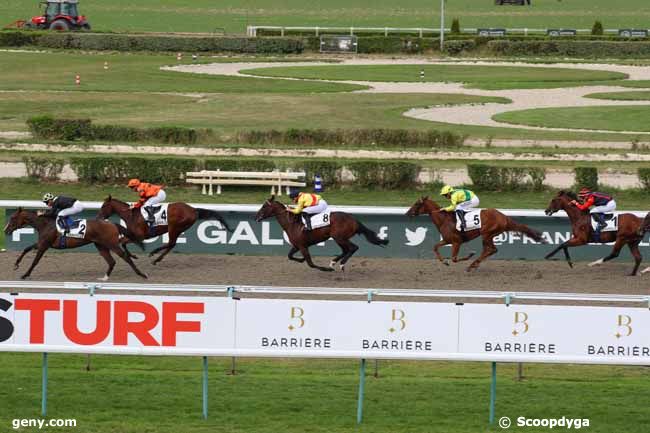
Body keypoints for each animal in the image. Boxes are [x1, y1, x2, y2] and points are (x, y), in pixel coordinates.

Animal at [3, 207, 147, 280]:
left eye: (13, 218)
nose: (6, 230)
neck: (45, 224)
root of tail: (112, 223)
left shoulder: (44, 245)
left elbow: (35, 261)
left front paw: (25, 274)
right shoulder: (42, 243)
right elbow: (26, 249)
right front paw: (16, 265)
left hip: (112, 244)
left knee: (125, 257)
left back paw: (142, 274)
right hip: (101, 245)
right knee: (111, 261)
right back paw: (104, 278)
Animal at [94, 196, 230, 264]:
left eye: (104, 206)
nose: (98, 217)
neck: (131, 215)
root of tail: (193, 209)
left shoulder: (139, 236)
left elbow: (122, 242)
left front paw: (133, 255)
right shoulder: (133, 235)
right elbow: (122, 242)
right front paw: (132, 256)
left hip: (174, 227)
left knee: (171, 243)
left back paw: (154, 254)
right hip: (177, 229)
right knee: (171, 244)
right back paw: (156, 258)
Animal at [252, 195, 384, 270]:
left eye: (264, 207)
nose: (256, 217)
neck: (292, 223)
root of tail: (354, 219)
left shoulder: (302, 246)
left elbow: (310, 263)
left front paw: (325, 269)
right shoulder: (297, 245)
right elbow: (290, 256)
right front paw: (301, 259)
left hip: (339, 237)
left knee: (353, 248)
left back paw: (341, 264)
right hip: (339, 238)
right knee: (345, 250)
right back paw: (333, 262)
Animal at [402, 196, 544, 270]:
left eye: (417, 204)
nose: (407, 213)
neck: (444, 220)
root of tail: (503, 216)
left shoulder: (456, 242)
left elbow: (454, 258)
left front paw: (469, 254)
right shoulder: (447, 240)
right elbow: (435, 247)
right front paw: (444, 262)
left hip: (487, 234)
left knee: (491, 249)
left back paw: (472, 265)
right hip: (489, 235)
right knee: (490, 250)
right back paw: (474, 264)